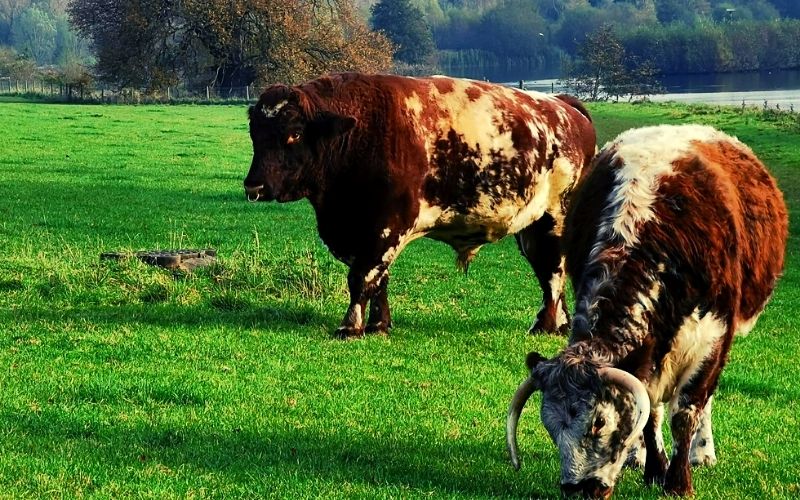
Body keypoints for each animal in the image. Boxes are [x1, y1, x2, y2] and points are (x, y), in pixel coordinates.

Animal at [242, 73, 592, 340]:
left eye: (294, 134)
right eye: (255, 136)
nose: (254, 186)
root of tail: (563, 105)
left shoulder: (385, 228)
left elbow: (361, 278)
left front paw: (350, 327)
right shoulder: (361, 233)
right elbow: (378, 280)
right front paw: (378, 325)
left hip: (555, 219)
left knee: (554, 272)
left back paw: (547, 325)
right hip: (530, 228)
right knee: (547, 272)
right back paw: (556, 324)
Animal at [506, 125, 788, 496]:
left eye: (598, 422)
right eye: (549, 426)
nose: (578, 488)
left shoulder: (712, 338)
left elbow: (686, 410)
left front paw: (679, 482)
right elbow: (650, 413)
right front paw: (654, 469)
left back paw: (702, 452)